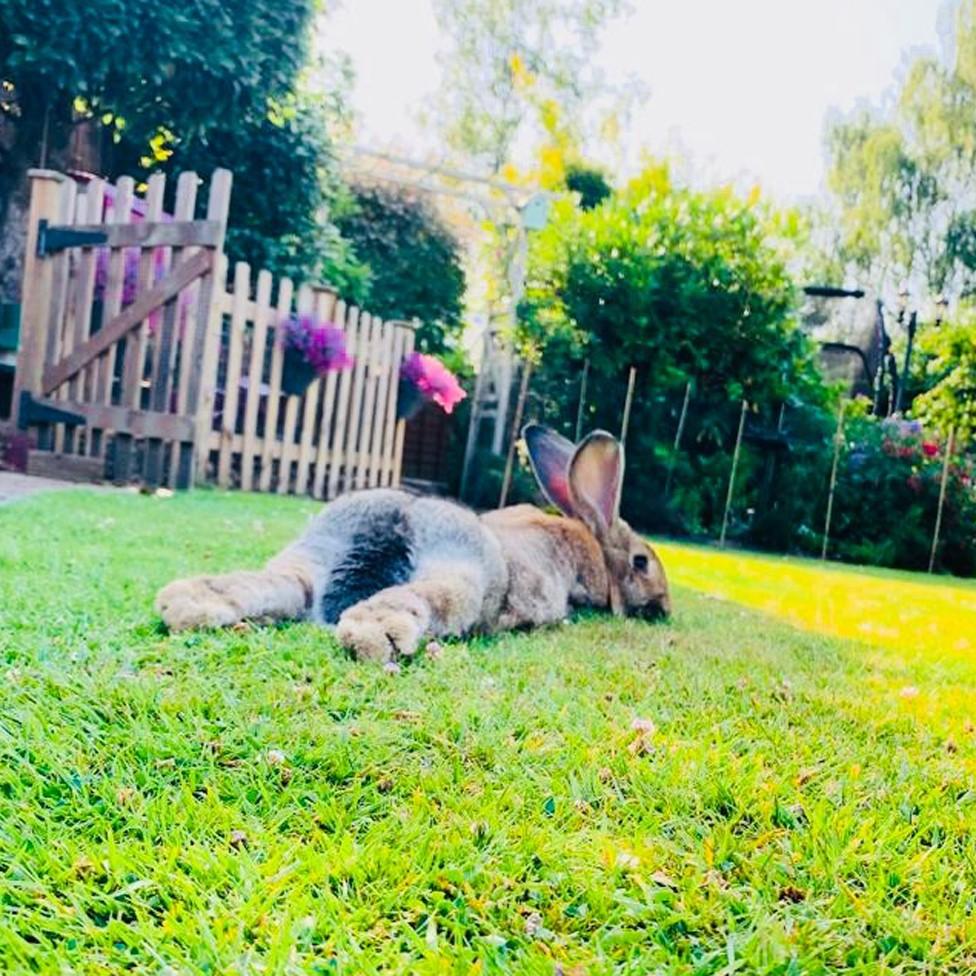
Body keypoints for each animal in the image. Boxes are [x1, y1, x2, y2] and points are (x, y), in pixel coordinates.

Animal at [156, 424, 672, 660]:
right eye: (642, 562)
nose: (665, 607)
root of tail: (403, 516)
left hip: (314, 555)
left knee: (280, 585)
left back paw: (188, 603)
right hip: (465, 574)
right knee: (427, 598)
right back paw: (375, 632)